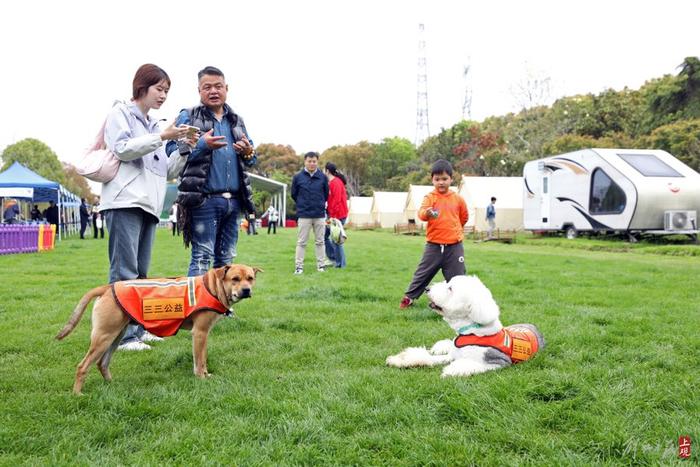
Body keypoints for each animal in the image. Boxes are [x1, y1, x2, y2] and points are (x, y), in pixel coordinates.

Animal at [53, 266, 258, 394]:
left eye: (250, 278)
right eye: (235, 279)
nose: (247, 290)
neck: (211, 287)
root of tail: (107, 288)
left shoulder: (204, 334)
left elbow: (203, 359)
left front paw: (206, 375)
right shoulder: (199, 333)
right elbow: (199, 361)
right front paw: (201, 378)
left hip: (115, 336)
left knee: (102, 363)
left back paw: (111, 384)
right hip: (104, 336)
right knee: (82, 366)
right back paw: (77, 394)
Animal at [386, 276, 544, 378]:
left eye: (450, 288)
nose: (427, 288)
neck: (471, 332)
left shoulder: (500, 362)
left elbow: (470, 365)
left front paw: (450, 371)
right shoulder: (452, 354)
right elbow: (429, 358)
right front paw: (401, 360)